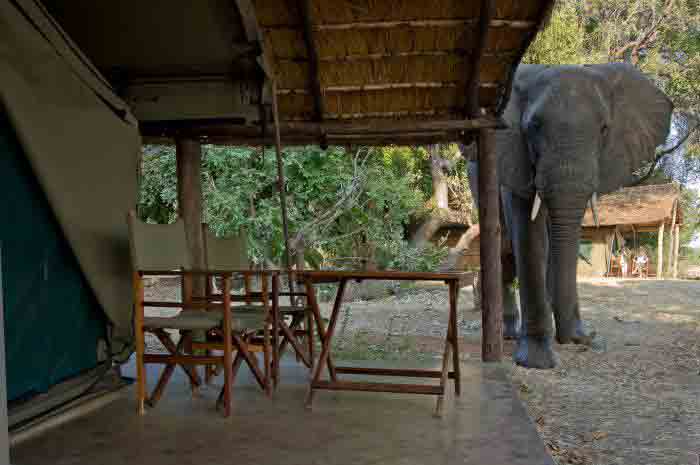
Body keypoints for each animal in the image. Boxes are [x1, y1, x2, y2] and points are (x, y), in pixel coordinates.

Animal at [464, 63, 672, 368]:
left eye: (604, 129)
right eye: (533, 127)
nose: (581, 340)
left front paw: (577, 337)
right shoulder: (514, 159)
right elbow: (530, 237)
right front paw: (536, 361)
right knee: (505, 251)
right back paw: (508, 334)